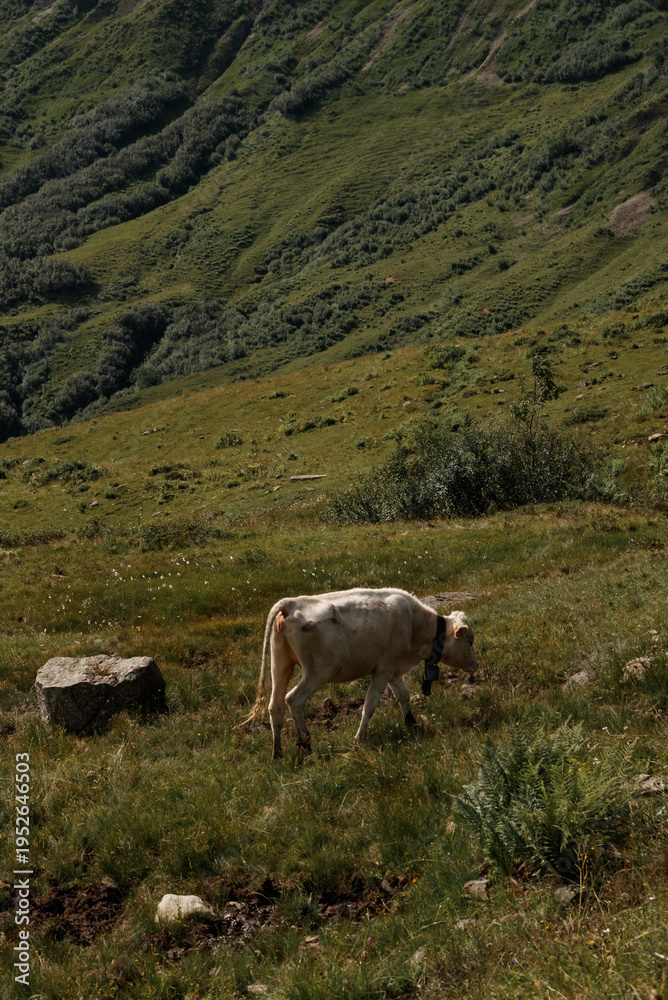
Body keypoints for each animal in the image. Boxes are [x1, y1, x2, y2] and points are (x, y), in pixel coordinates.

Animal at [242, 587, 478, 758]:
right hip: (320, 670)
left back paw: (277, 753)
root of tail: (291, 603)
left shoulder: (394, 670)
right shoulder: (384, 668)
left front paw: (411, 722)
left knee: (275, 706)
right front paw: (359, 739)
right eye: (470, 640)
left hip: (281, 663)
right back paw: (305, 745)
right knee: (294, 699)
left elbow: (403, 695)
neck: (414, 623)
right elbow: (370, 705)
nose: (476, 664)